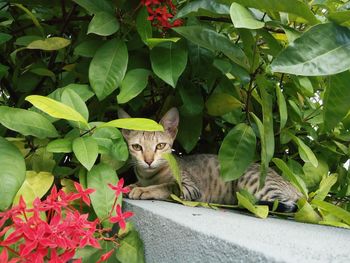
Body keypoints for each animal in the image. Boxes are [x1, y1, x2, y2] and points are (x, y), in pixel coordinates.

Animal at [119, 107, 302, 212]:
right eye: (137, 147)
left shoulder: (190, 188)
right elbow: (137, 183)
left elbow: (167, 186)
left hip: (250, 182)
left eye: (160, 146)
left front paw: (144, 190)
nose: (149, 161)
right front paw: (130, 186)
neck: (149, 176)